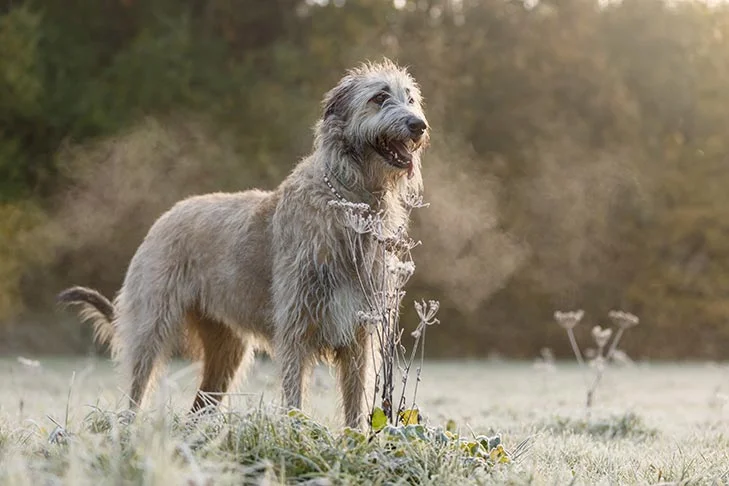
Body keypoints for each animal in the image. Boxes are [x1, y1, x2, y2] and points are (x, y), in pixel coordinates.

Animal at [61, 58, 432, 428]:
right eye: (379, 97)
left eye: (411, 98)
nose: (419, 125)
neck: (351, 201)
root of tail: (163, 218)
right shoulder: (295, 327)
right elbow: (294, 395)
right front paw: (296, 432)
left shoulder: (359, 333)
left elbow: (355, 402)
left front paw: (355, 438)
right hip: (151, 325)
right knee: (137, 387)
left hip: (227, 348)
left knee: (201, 404)